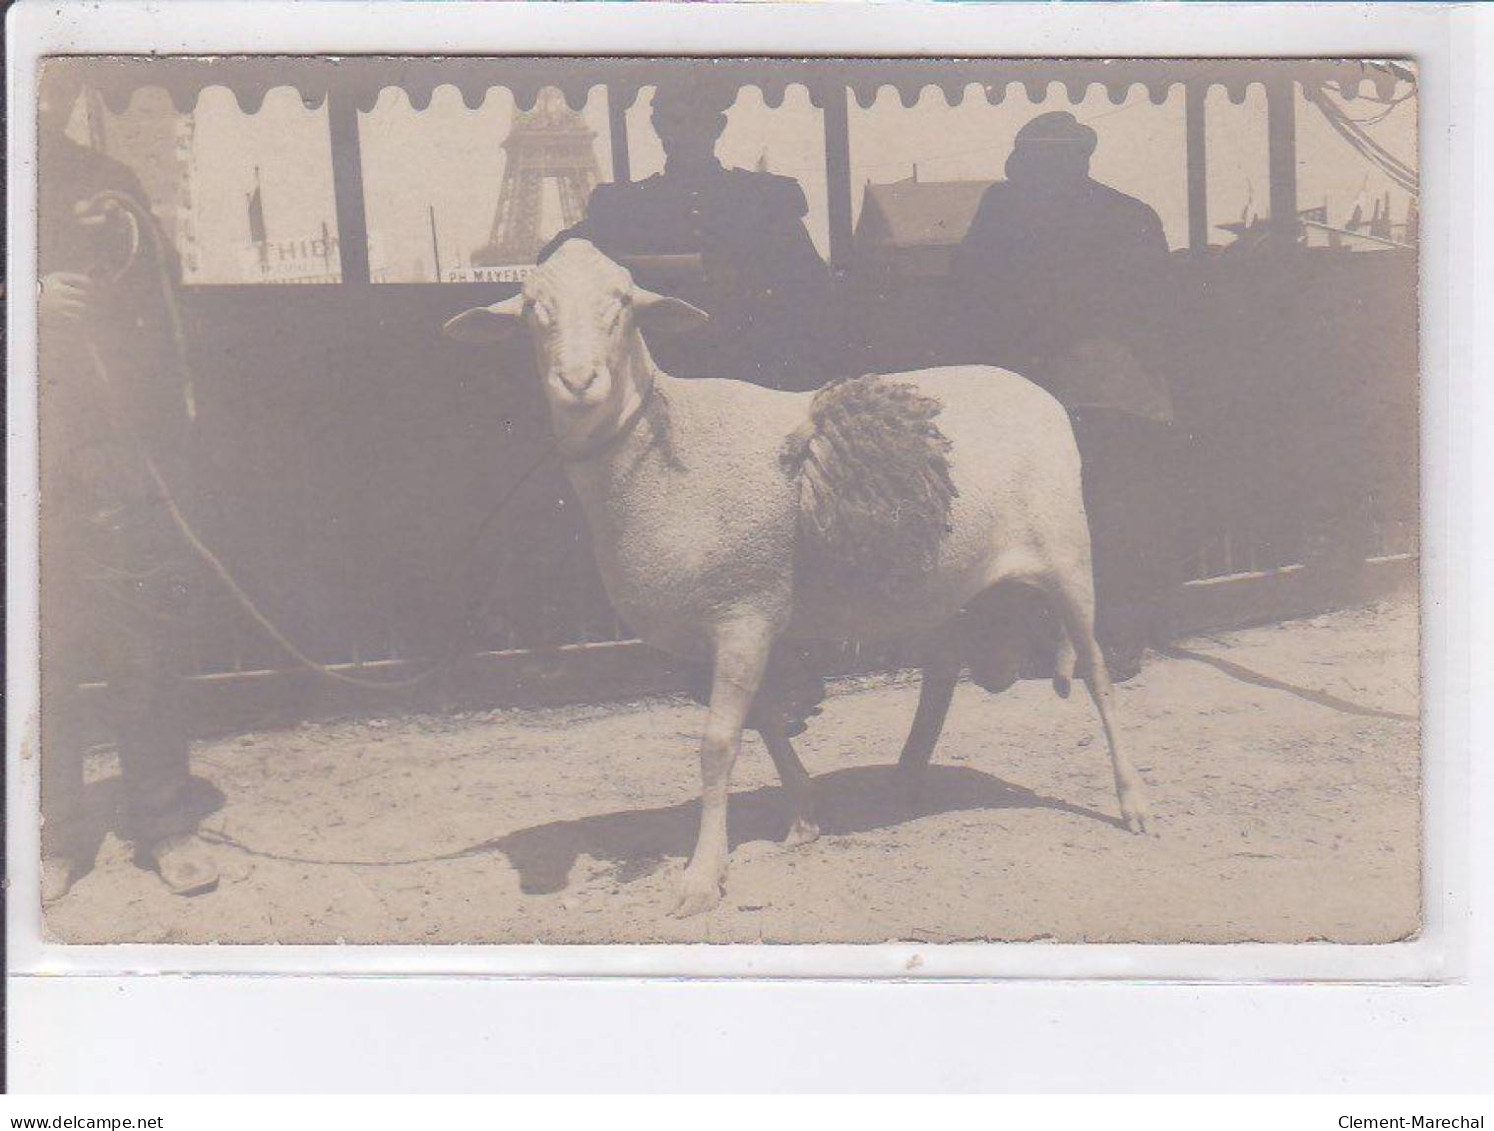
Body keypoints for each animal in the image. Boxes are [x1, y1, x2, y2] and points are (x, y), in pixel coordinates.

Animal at [445, 240, 1153, 920]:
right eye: (532, 307)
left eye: (622, 302)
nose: (578, 380)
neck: (661, 447)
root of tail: (1039, 392)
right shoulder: (732, 622)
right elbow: (763, 724)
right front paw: (805, 816)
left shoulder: (743, 613)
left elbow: (718, 745)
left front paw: (702, 877)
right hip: (943, 580)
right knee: (942, 673)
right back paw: (905, 777)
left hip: (1067, 554)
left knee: (1096, 674)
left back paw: (1132, 804)